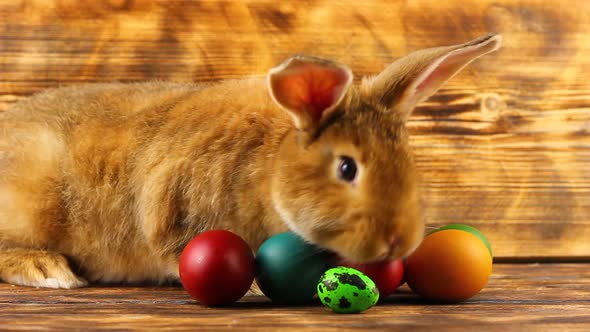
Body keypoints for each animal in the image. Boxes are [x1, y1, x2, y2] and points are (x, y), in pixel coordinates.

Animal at [0, 34, 502, 288]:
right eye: (347, 168)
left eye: (409, 163)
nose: (398, 241)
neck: (271, 167)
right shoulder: (173, 207)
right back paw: (47, 271)